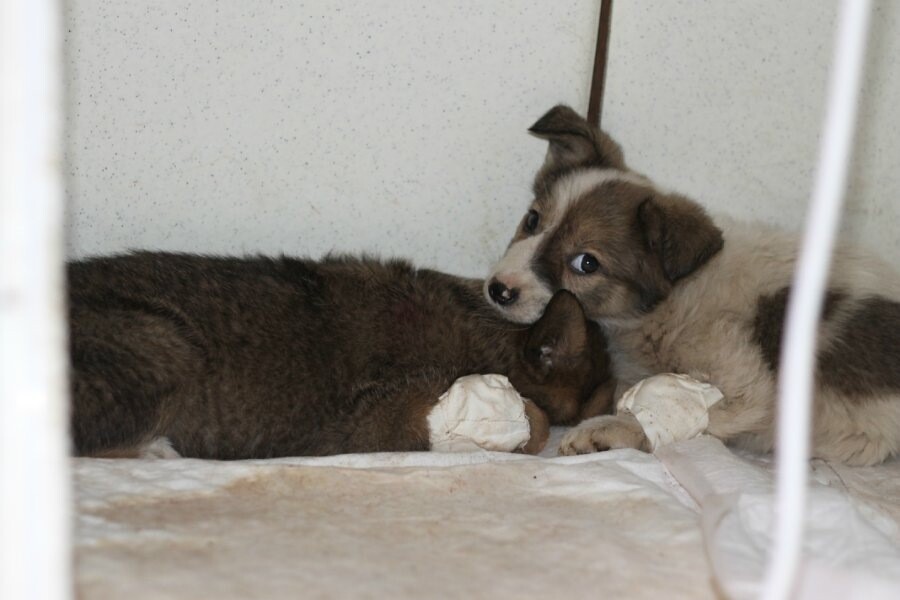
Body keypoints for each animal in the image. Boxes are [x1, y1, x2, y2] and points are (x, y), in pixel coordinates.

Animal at [484, 105, 900, 466]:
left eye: (586, 263)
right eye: (532, 220)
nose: (498, 290)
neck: (672, 300)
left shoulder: (740, 381)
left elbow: (664, 413)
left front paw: (607, 429)